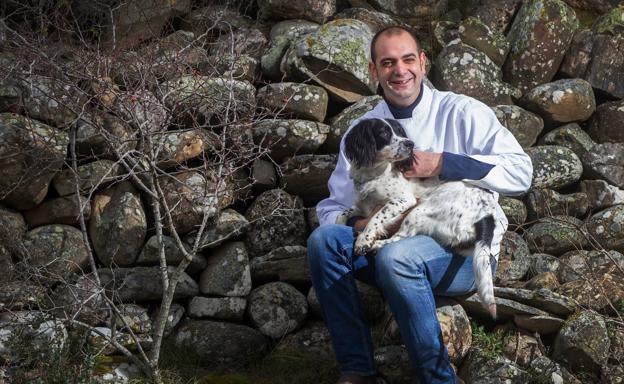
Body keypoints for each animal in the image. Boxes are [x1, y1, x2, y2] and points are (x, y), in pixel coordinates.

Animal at [334, 118, 500, 318]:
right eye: (383, 132)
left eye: (399, 131)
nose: (410, 144)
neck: (374, 173)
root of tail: (487, 215)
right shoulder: (362, 206)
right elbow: (342, 213)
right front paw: (341, 223)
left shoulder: (402, 200)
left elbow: (377, 218)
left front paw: (364, 240)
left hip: (419, 210)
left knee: (400, 237)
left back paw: (375, 245)